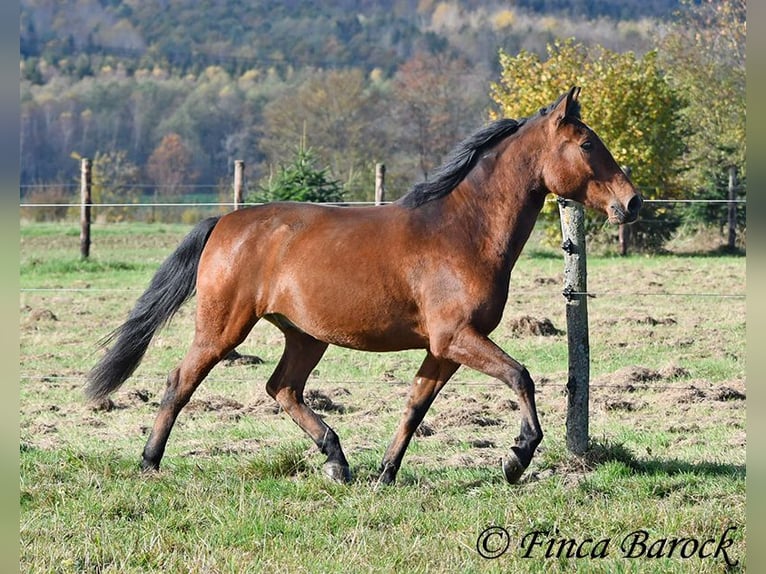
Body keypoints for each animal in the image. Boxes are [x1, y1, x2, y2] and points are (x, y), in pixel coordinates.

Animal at [87, 88, 644, 486]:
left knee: (282, 388)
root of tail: (224, 222)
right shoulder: (457, 338)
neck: (463, 231)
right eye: (588, 144)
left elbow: (416, 406)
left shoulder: (442, 348)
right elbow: (520, 377)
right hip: (224, 327)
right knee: (180, 381)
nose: (633, 202)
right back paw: (149, 462)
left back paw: (338, 461)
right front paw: (516, 457)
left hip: (305, 335)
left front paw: (386, 473)